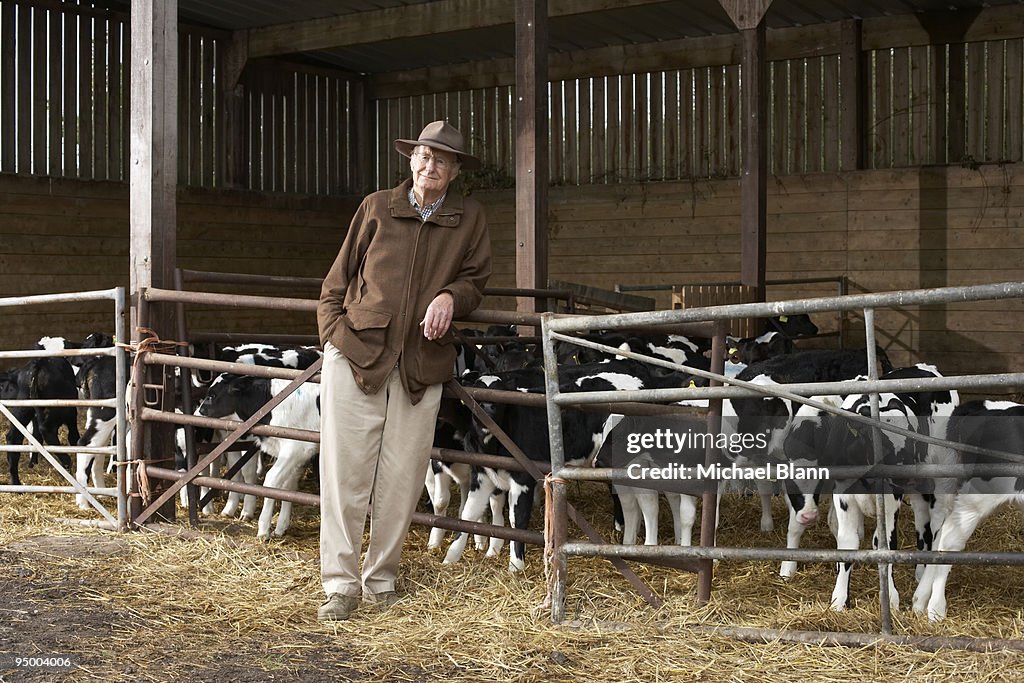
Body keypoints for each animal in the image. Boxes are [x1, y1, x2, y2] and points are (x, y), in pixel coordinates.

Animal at [193, 374, 317, 540]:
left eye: (212, 396)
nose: (196, 416)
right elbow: (286, 487)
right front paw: (281, 527)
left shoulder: (295, 449)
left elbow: (271, 481)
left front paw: (263, 528)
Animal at [917, 397, 1024, 622]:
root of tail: (977, 406)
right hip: (979, 495)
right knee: (949, 540)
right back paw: (936, 610)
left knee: (939, 532)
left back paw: (919, 601)